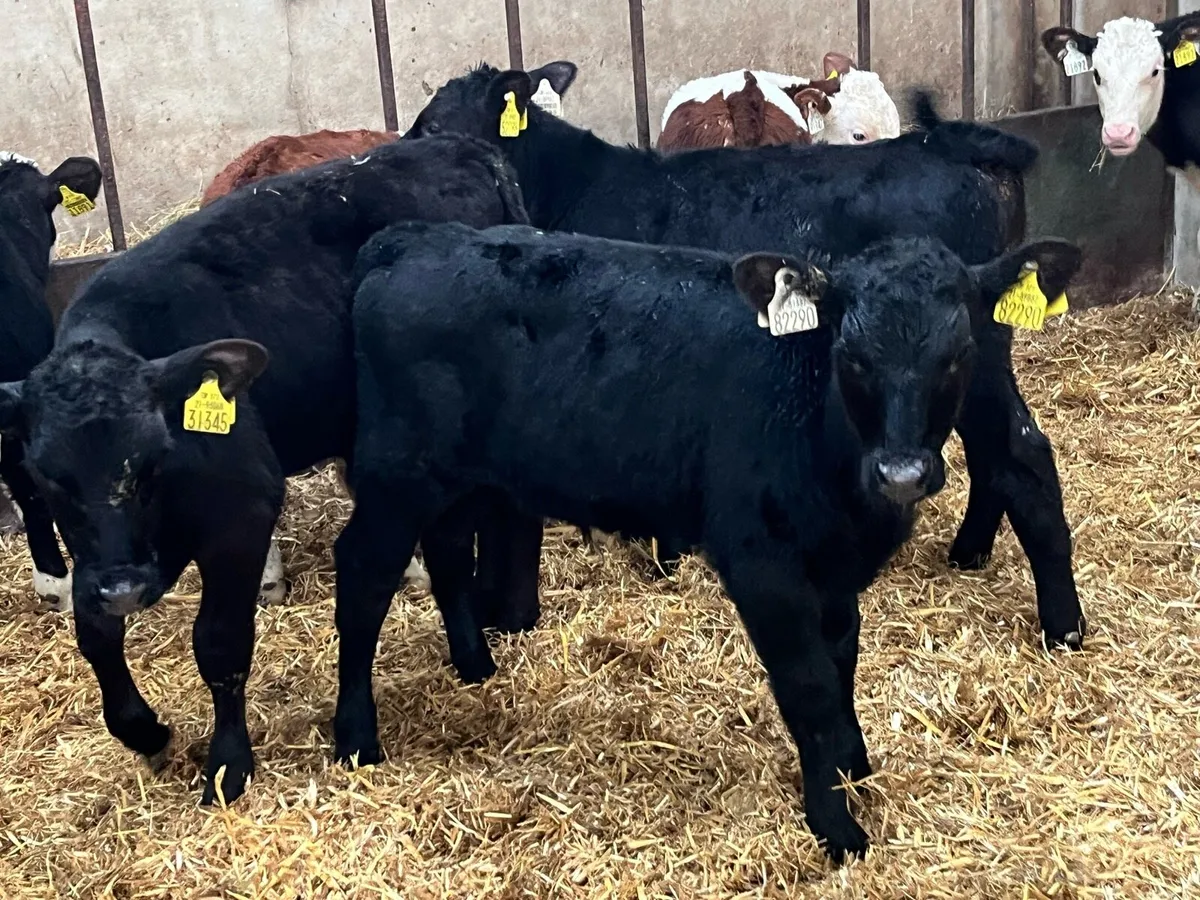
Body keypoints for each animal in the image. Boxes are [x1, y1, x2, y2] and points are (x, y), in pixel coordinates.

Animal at [333, 218, 1083, 861]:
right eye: (852, 356)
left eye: (958, 356)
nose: (901, 473)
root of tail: (412, 240)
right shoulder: (764, 568)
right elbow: (809, 687)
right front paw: (836, 825)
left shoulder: (833, 570)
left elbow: (841, 667)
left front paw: (853, 768)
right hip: (395, 477)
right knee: (363, 579)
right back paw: (356, 738)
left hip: (459, 481)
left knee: (446, 551)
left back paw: (474, 664)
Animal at [401, 63, 1088, 653]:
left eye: (433, 126)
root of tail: (950, 145)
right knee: (993, 451)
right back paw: (970, 552)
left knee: (1021, 449)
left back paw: (1062, 624)